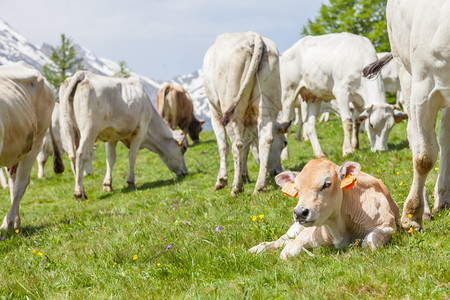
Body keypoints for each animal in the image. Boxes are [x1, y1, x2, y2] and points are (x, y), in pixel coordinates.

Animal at [58, 71, 188, 200]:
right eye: (183, 149)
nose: (186, 172)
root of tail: (83, 74)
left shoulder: (111, 135)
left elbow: (110, 158)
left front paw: (107, 185)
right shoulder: (141, 130)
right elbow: (132, 156)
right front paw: (131, 182)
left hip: (68, 128)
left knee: (72, 156)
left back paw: (83, 191)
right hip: (89, 129)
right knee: (81, 155)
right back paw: (79, 193)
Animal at [203, 31, 290, 196]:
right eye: (284, 143)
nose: (277, 171)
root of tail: (252, 36)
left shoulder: (214, 113)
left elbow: (223, 146)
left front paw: (222, 180)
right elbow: (249, 146)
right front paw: (245, 175)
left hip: (231, 109)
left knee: (237, 144)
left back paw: (237, 188)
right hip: (268, 104)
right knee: (266, 138)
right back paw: (260, 186)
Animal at [248, 158, 400, 258]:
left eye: (326, 184)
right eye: (297, 189)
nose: (300, 212)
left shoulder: (388, 226)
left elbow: (369, 242)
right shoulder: (309, 233)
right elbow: (288, 251)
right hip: (295, 228)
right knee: (282, 240)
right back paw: (258, 248)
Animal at [362, 0, 450, 230]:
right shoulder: (424, 89)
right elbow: (424, 156)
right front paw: (412, 214)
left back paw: (443, 198)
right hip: (405, 70)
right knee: (414, 136)